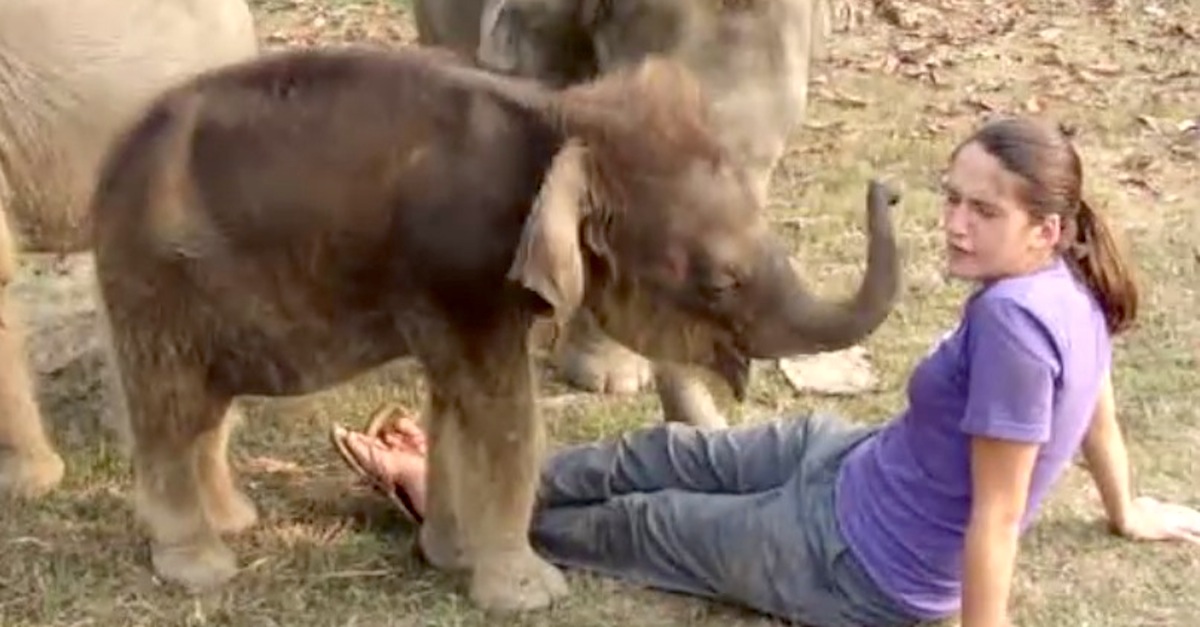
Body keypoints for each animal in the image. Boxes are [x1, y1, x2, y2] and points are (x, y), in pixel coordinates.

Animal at [88, 45, 902, 610]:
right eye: (719, 280)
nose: (887, 188)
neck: (567, 114)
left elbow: (456, 398)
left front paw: (450, 556)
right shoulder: (463, 266)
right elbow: (503, 408)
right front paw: (532, 595)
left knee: (207, 408)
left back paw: (235, 521)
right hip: (155, 285)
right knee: (171, 406)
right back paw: (200, 567)